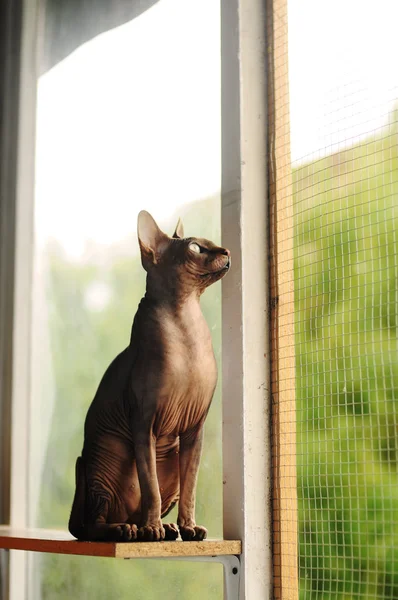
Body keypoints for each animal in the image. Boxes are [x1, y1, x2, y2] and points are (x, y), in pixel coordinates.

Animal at [68, 212, 230, 544]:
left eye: (210, 242)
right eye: (196, 248)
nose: (227, 251)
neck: (187, 327)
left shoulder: (195, 429)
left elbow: (190, 489)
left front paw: (189, 528)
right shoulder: (145, 424)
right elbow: (150, 488)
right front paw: (152, 529)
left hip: (170, 458)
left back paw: (164, 529)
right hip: (107, 462)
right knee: (93, 524)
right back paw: (131, 530)